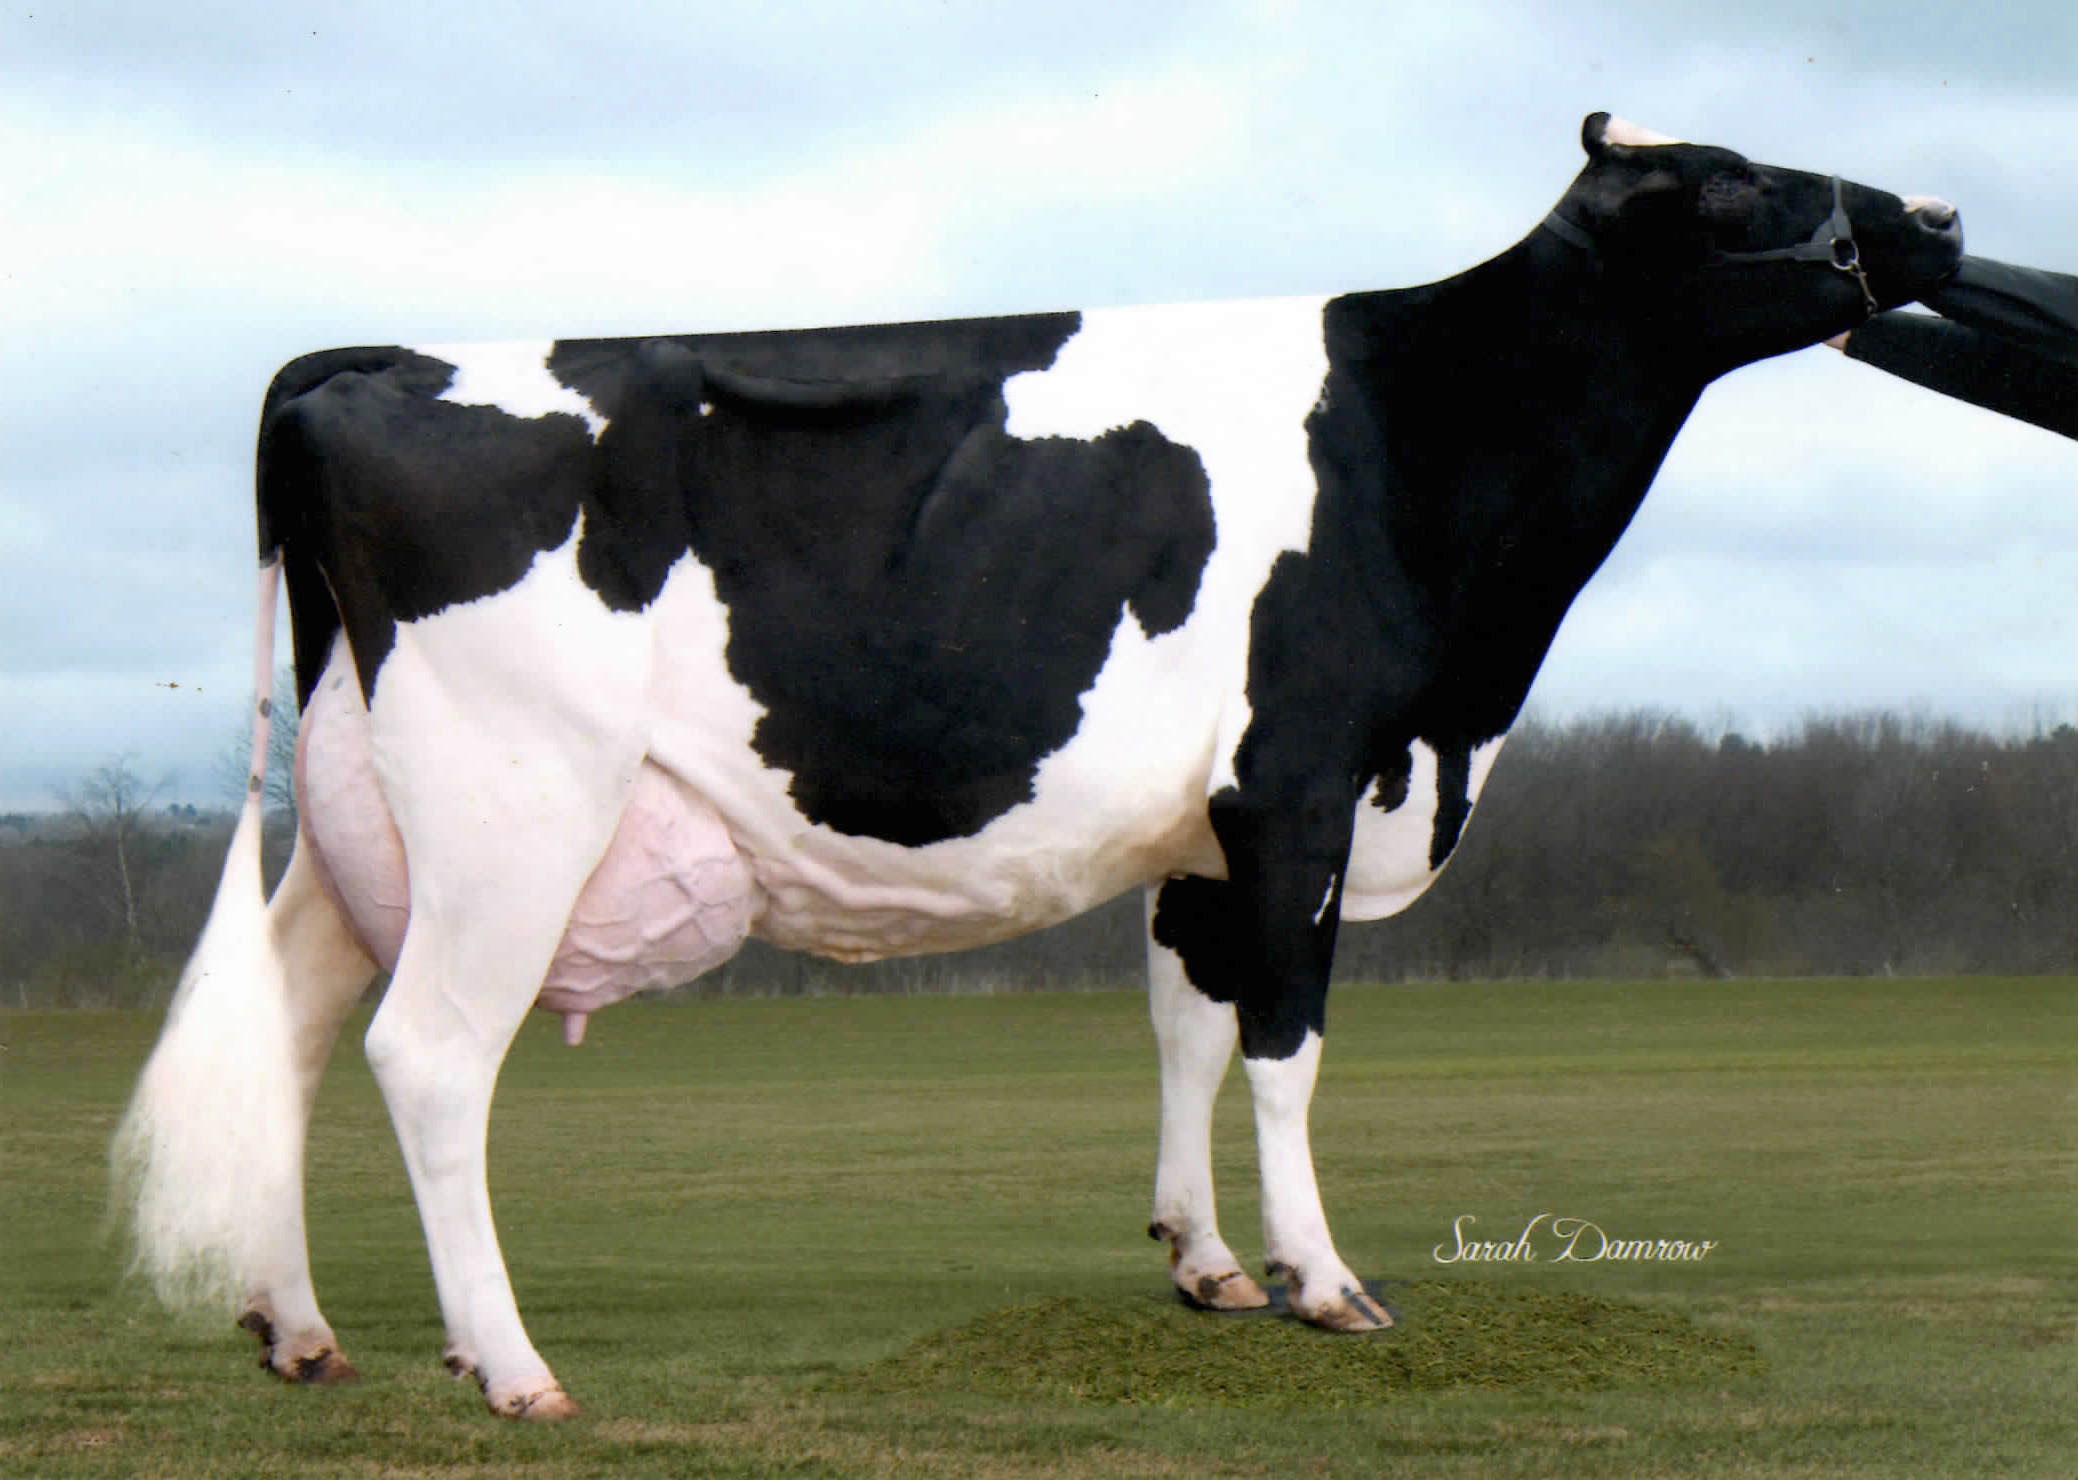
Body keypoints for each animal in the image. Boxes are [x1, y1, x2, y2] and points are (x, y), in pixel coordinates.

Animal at [113, 109, 1961, 1413]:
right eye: (1728, 183)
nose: (1936, 219)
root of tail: (362, 359)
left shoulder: (1202, 841)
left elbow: (1187, 1035)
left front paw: (1207, 1266)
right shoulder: (1299, 788)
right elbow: (1283, 1049)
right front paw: (1327, 1283)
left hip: (358, 823)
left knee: (288, 1027)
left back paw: (297, 1328)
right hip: (513, 810)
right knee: (427, 1057)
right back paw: (509, 1369)